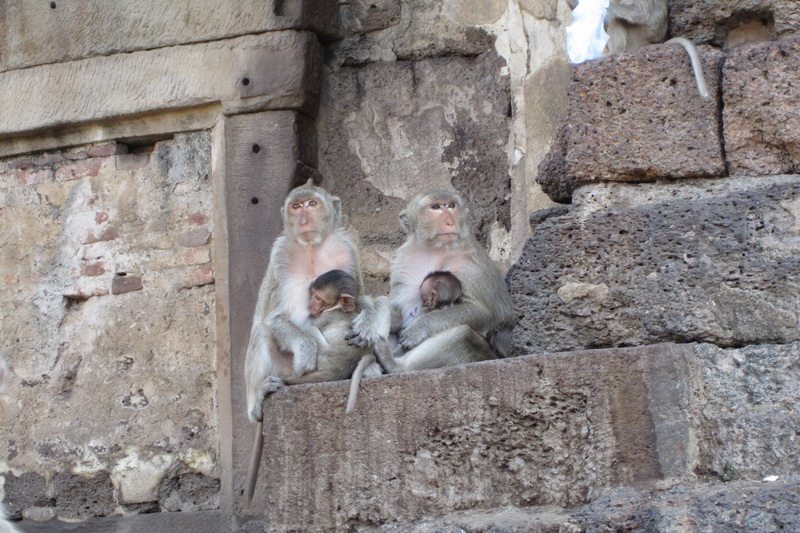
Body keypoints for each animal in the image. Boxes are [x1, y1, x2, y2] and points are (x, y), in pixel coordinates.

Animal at [384, 189, 516, 372]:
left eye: (451, 205)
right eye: (435, 207)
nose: (449, 222)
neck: (436, 249)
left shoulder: (470, 263)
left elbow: (482, 312)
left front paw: (419, 328)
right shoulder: (403, 259)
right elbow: (395, 309)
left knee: (463, 334)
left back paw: (395, 365)